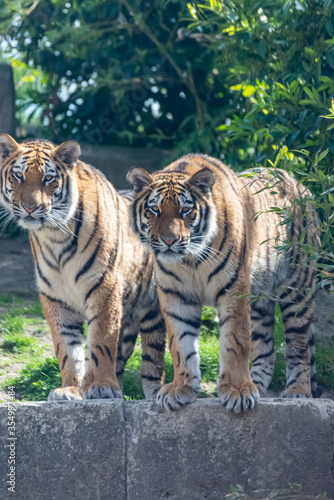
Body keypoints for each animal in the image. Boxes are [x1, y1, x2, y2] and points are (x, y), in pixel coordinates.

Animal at [0, 135, 166, 400]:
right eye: (18, 176)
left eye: (48, 179)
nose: (30, 208)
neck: (54, 235)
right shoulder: (55, 297)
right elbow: (67, 349)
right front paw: (70, 389)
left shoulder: (104, 287)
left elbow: (101, 340)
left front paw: (99, 386)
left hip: (154, 311)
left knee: (153, 360)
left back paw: (154, 396)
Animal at [127, 154, 318, 412]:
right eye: (154, 210)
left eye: (185, 210)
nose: (169, 241)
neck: (190, 260)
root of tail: (302, 186)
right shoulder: (176, 295)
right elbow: (180, 345)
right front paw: (181, 388)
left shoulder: (233, 290)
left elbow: (235, 342)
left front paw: (238, 391)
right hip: (260, 300)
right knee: (267, 349)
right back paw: (258, 386)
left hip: (297, 289)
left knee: (300, 346)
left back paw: (297, 391)